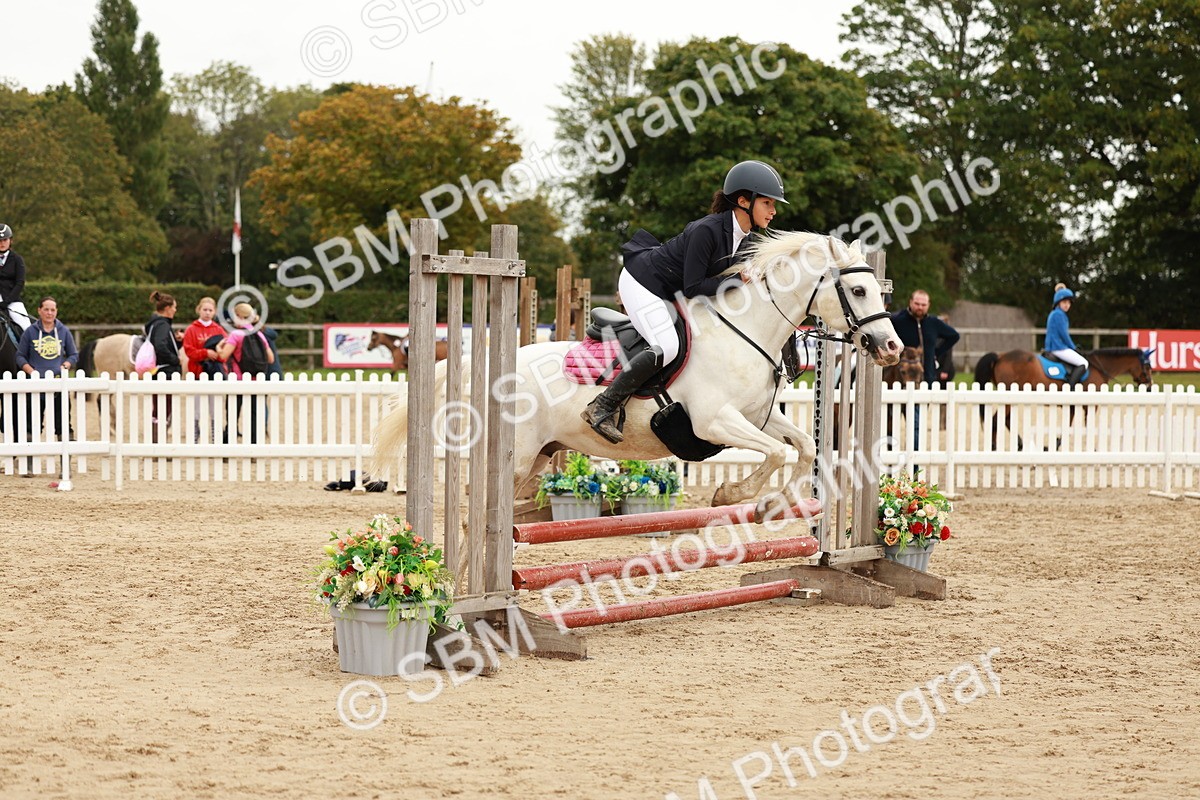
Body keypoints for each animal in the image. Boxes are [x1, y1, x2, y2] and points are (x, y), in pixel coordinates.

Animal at [373, 233, 903, 516]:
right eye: (857, 291)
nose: (892, 347)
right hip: (518, 456)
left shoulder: (757, 416)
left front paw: (770, 505)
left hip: (539, 458)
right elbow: (774, 452)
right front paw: (731, 494)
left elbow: (805, 446)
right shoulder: (715, 422)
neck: (747, 330)